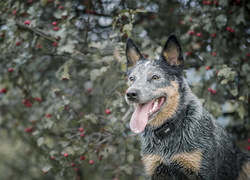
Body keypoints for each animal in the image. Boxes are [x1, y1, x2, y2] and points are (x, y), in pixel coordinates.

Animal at [124, 34, 250, 180]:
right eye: (132, 78)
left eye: (155, 77)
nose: (130, 94)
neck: (167, 130)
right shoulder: (155, 170)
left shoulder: (201, 171)